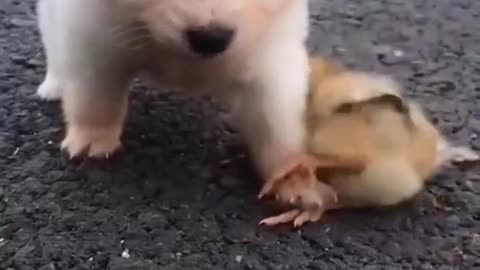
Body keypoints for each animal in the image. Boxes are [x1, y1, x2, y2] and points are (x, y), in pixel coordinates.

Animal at [36, 0, 316, 200]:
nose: (210, 39)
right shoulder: (95, 31)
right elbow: (96, 96)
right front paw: (92, 140)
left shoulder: (270, 53)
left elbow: (278, 121)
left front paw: (294, 178)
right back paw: (54, 85)